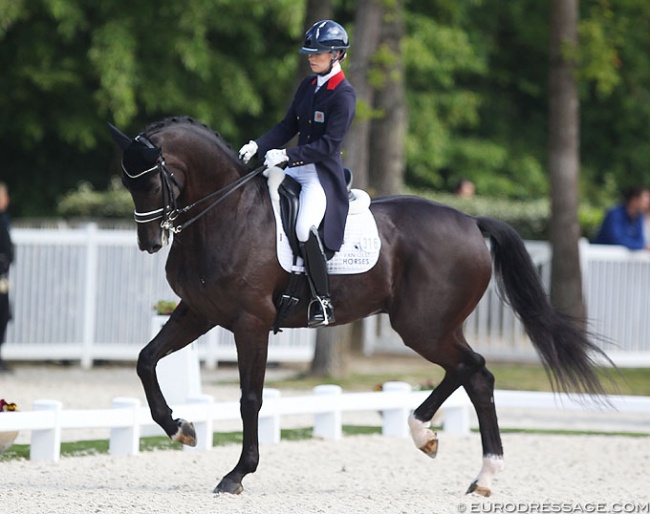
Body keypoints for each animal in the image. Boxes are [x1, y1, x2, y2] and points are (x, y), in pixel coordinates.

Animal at [107, 117, 608, 496]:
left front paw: (237, 473)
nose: (149, 242)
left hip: (422, 326)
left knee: (475, 370)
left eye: (152, 181)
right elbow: (146, 360)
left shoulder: (251, 323)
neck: (227, 214)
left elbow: (251, 399)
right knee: (472, 373)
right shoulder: (199, 311)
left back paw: (459, 456)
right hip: (435, 325)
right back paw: (447, 451)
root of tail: (470, 221)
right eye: (127, 183)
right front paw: (180, 428)